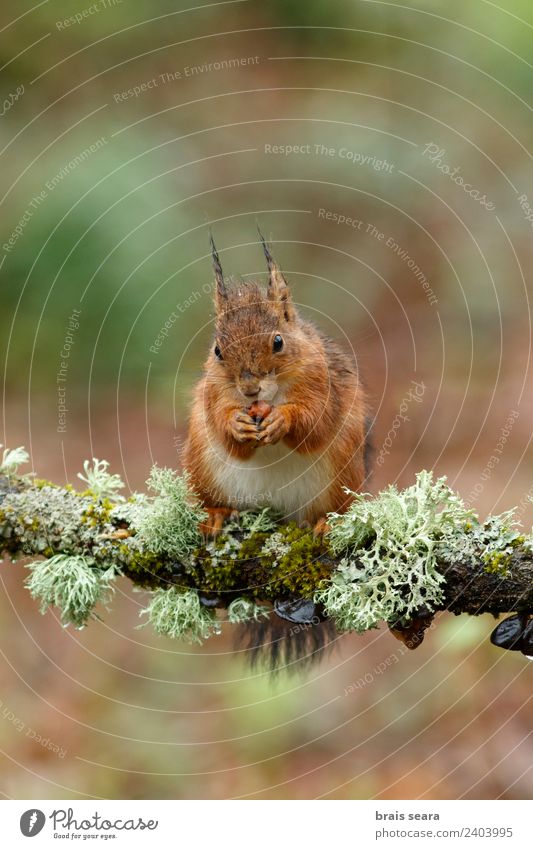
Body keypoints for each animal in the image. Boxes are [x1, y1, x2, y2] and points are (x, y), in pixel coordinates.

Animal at [183, 232, 370, 532]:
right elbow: (222, 424)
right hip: (203, 468)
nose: (249, 389)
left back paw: (326, 523)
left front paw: (283, 419)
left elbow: (316, 421)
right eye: (218, 351)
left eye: (278, 342)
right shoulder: (214, 393)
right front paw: (236, 424)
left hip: (343, 477)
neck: (269, 397)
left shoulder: (322, 382)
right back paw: (215, 513)